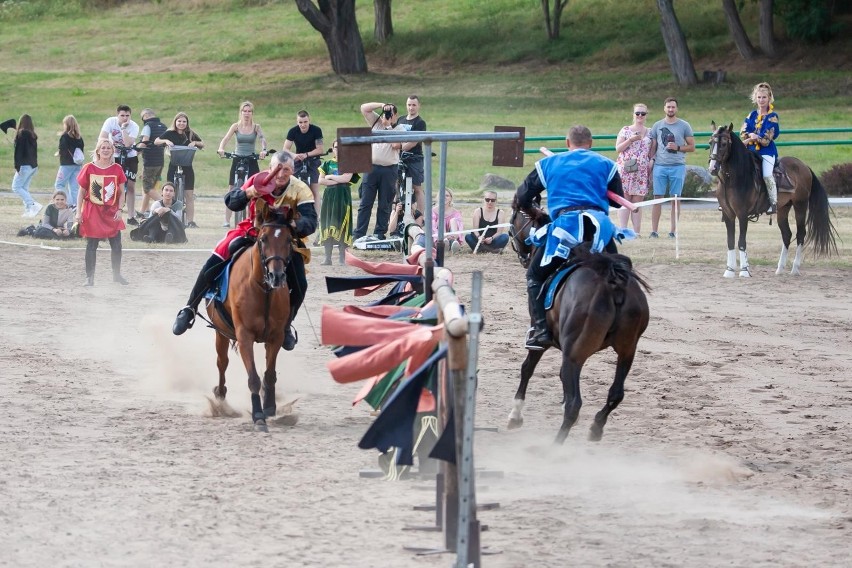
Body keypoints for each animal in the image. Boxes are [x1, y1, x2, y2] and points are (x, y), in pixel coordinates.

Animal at [206, 201, 296, 430]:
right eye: (263, 239)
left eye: (289, 240)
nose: (277, 276)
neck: (263, 291)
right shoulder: (244, 335)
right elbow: (253, 378)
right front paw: (258, 415)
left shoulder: (276, 336)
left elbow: (269, 375)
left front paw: (269, 407)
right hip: (221, 332)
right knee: (222, 362)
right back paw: (220, 395)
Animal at [506, 202, 652, 446]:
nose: (522, 256)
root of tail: (612, 282)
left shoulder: (542, 341)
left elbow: (527, 368)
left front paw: (515, 415)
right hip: (627, 351)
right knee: (615, 394)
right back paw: (596, 427)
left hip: (574, 354)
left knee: (575, 404)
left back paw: (555, 445)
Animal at [704, 122, 840, 278]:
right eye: (710, 142)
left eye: (724, 144)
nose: (713, 168)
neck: (733, 179)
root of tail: (804, 166)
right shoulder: (728, 214)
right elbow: (730, 241)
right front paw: (729, 270)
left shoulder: (742, 214)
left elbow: (741, 241)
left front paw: (744, 270)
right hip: (783, 208)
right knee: (787, 234)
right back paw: (780, 268)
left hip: (800, 205)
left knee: (800, 234)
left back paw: (795, 268)